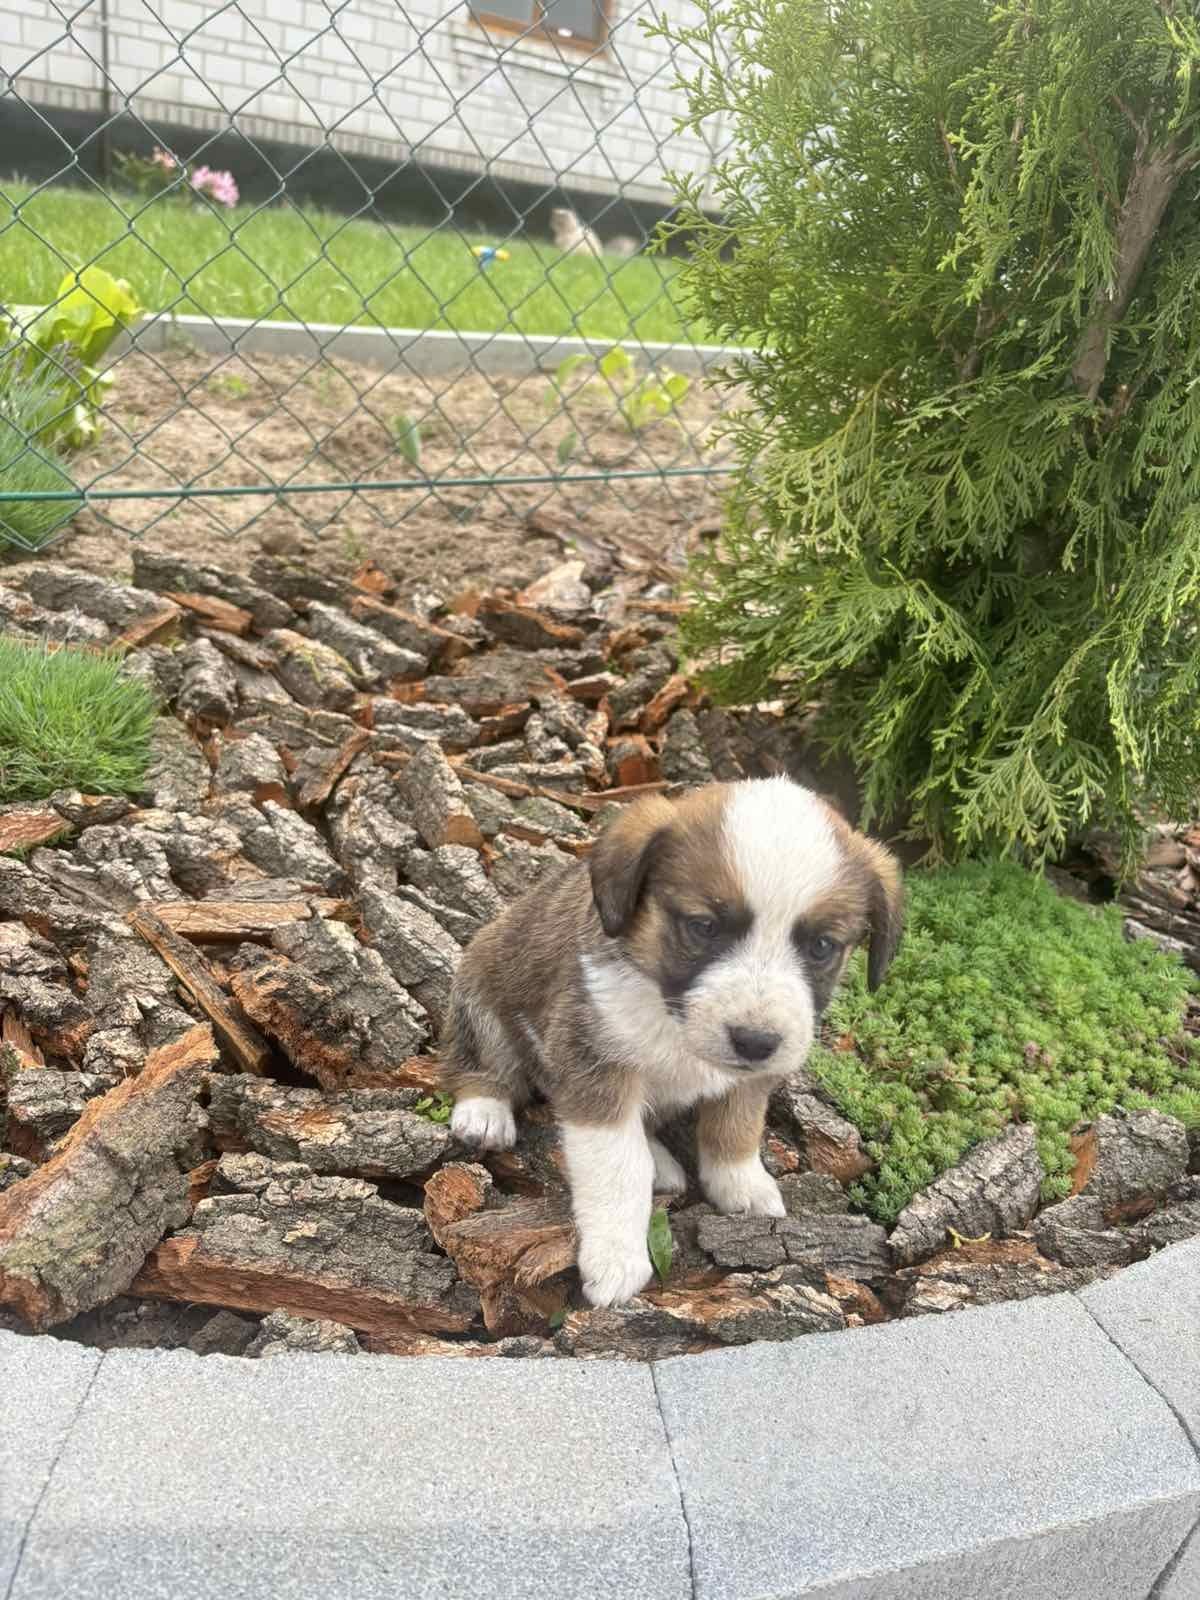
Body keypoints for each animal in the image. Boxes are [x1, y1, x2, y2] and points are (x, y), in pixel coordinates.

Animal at [441, 774, 902, 1312]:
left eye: (822, 946)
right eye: (704, 927)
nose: (755, 1041)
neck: (671, 1015)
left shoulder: (750, 1078)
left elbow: (736, 1127)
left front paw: (740, 1183)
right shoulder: (594, 1065)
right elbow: (617, 1168)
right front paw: (615, 1258)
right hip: (482, 990)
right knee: (481, 1058)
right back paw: (485, 1111)